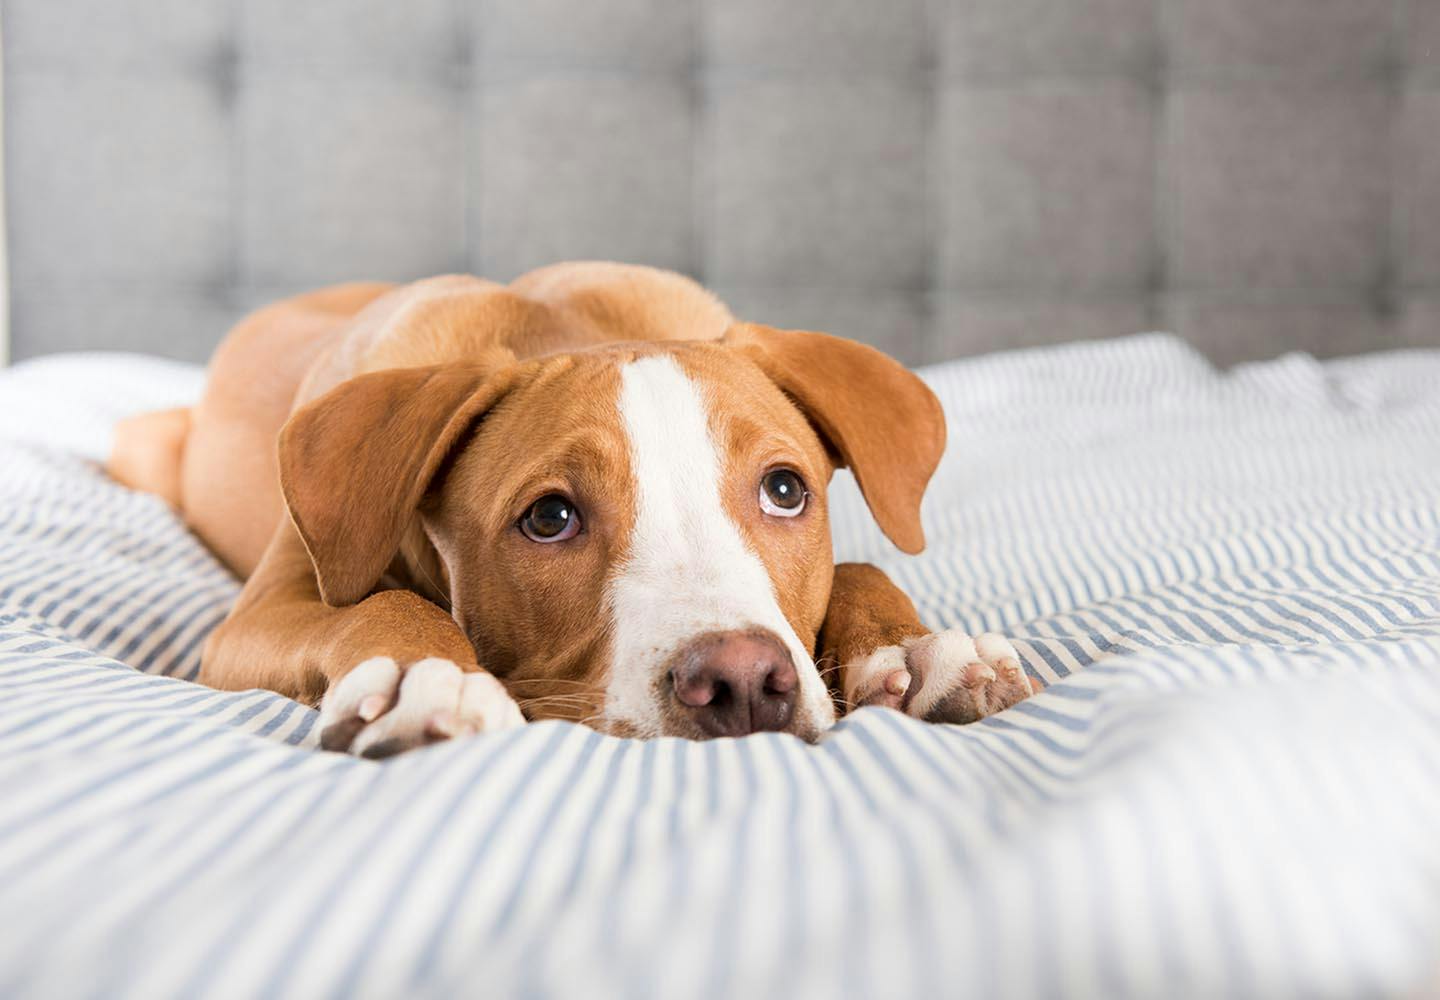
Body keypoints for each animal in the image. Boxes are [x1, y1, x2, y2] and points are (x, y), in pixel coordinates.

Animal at [112, 262, 1036, 755]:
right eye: (549, 519)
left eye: (785, 491)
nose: (741, 681)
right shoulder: (259, 615)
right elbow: (378, 602)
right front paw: (426, 674)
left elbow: (860, 561)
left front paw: (914, 649)